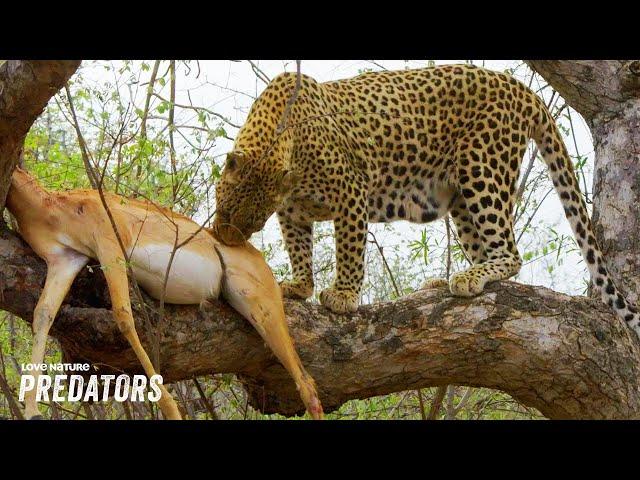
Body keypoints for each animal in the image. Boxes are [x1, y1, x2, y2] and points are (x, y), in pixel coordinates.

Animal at [211, 63, 640, 340]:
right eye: (226, 211)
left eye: (250, 224)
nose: (224, 238)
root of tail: (519, 87)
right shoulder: (292, 211)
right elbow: (299, 247)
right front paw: (300, 286)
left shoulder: (351, 193)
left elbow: (348, 249)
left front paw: (344, 296)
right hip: (462, 198)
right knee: (486, 248)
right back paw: (450, 280)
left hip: (482, 166)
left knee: (509, 252)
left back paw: (468, 277)